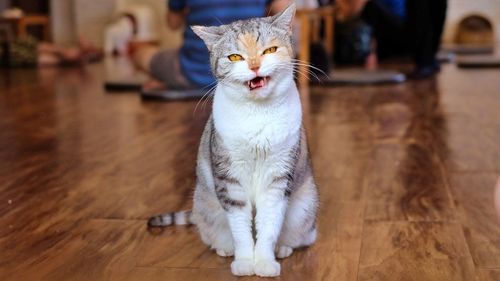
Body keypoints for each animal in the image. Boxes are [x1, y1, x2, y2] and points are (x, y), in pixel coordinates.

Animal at [148, 3, 318, 276]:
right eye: (235, 57)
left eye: (270, 50)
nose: (255, 66)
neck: (257, 114)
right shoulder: (229, 179)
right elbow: (240, 228)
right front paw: (245, 262)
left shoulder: (278, 177)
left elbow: (269, 224)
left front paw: (265, 262)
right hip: (206, 205)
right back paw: (225, 248)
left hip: (305, 208)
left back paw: (283, 248)